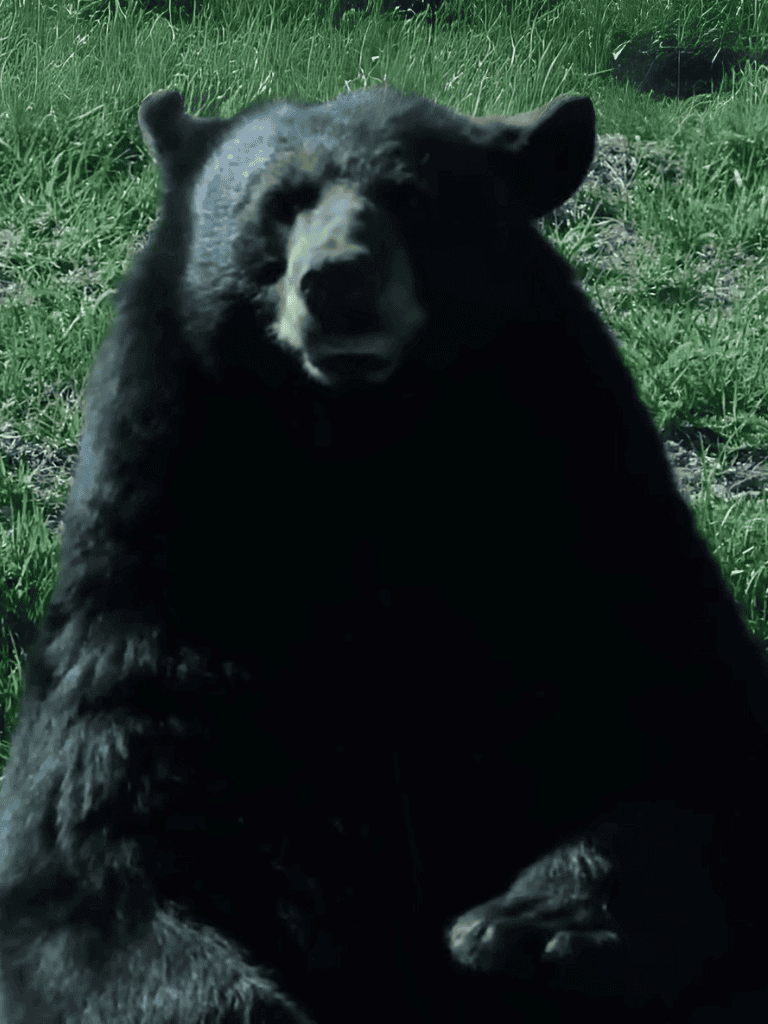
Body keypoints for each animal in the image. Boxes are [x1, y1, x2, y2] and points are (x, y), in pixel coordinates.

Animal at [0, 83, 767, 1024]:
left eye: (411, 197)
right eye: (279, 203)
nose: (338, 281)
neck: (364, 460)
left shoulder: (591, 537)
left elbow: (699, 747)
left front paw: (530, 928)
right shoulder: (162, 582)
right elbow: (94, 839)